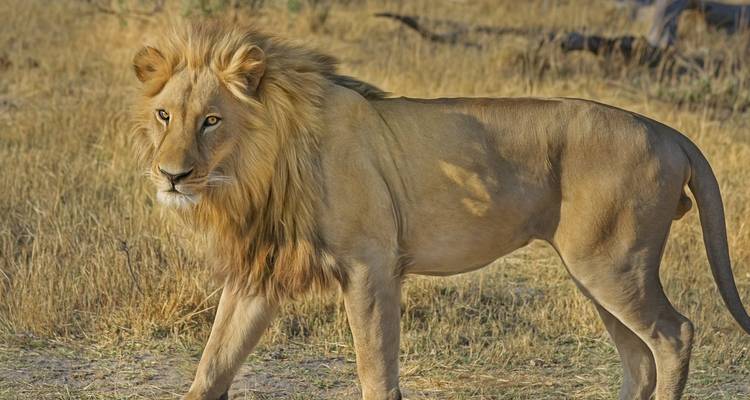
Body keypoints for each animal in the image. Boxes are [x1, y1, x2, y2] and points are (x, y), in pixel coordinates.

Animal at [131, 23, 750, 400]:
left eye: (211, 120)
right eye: (165, 115)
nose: (172, 175)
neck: (256, 170)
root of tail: (668, 131)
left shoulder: (371, 266)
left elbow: (376, 370)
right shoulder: (260, 273)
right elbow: (212, 364)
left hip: (613, 265)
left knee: (673, 335)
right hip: (597, 272)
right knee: (638, 358)